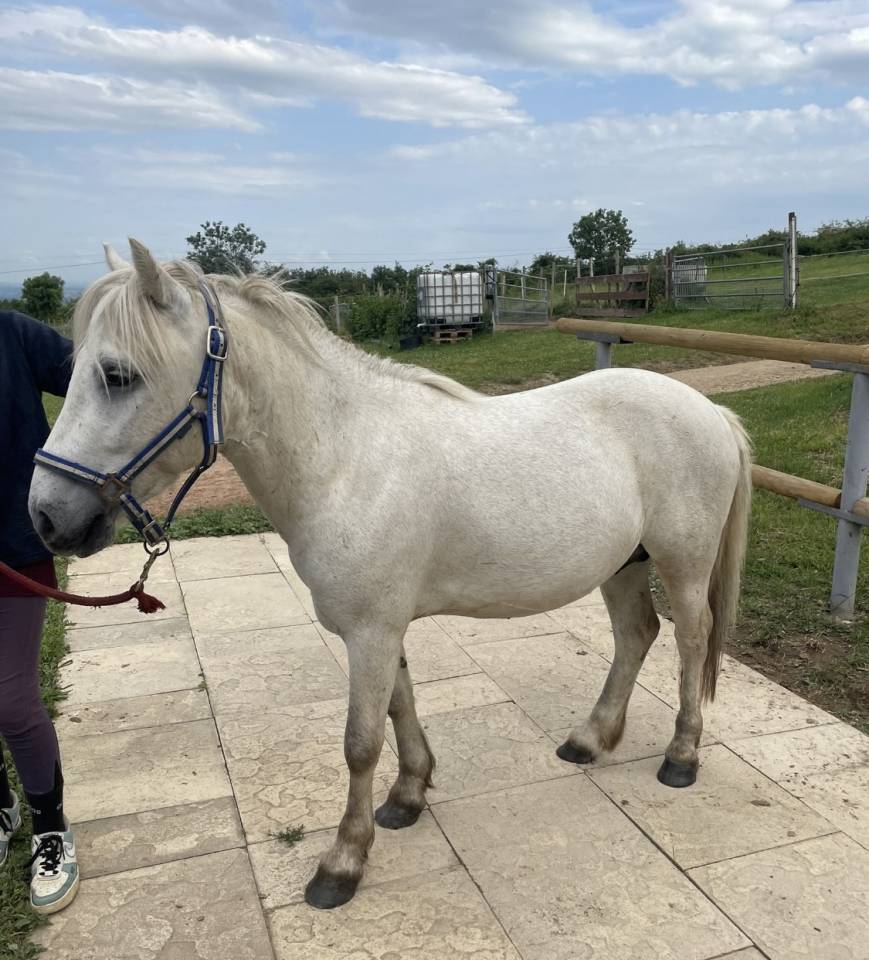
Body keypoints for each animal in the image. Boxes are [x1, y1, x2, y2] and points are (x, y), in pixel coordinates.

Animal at [29, 240, 752, 910]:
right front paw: (407, 797)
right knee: (635, 635)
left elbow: (359, 742)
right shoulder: (381, 628)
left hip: (683, 565)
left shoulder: (371, 631)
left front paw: (343, 862)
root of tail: (709, 411)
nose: (46, 516)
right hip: (623, 565)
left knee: (689, 641)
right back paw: (589, 740)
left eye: (117, 375)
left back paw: (681, 757)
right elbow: (400, 707)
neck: (345, 459)